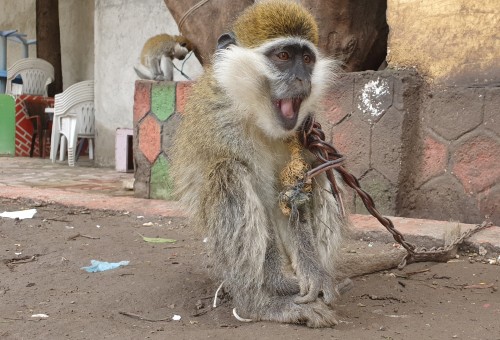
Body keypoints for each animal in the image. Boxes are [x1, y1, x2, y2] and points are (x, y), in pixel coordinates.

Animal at [172, 0, 368, 328]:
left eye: (307, 59)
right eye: (284, 57)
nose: (303, 79)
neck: (256, 114)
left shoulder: (302, 131)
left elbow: (292, 196)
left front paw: (314, 274)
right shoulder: (224, 124)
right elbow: (261, 200)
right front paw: (277, 290)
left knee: (321, 173)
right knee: (228, 172)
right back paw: (259, 302)